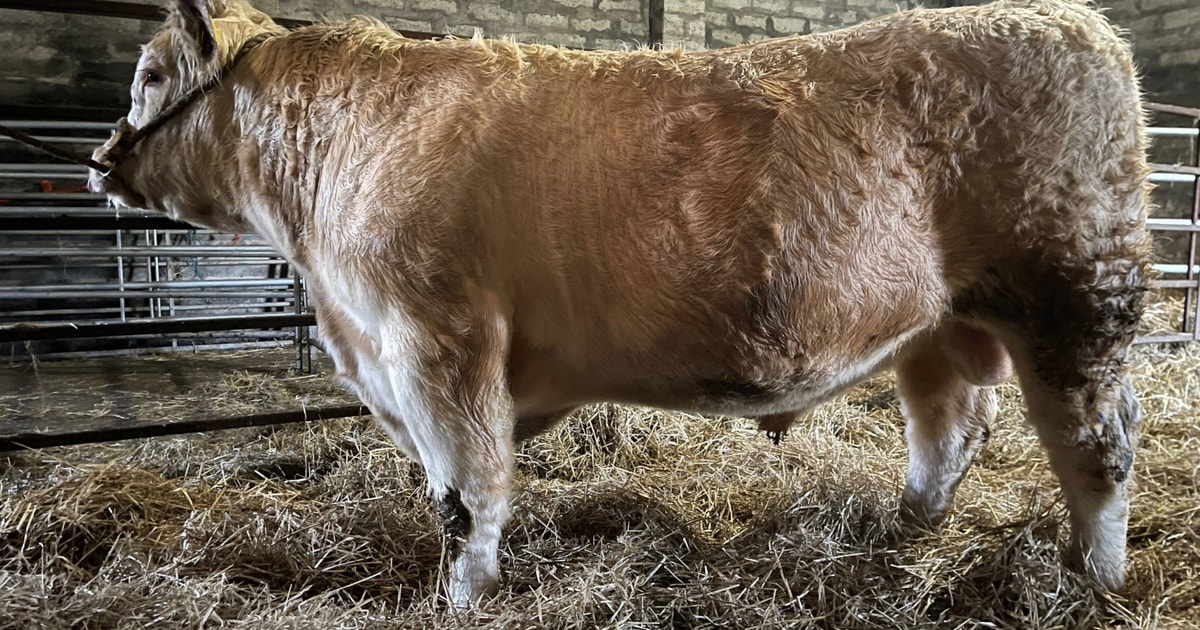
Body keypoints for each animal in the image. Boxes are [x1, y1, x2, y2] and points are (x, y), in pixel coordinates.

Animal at [90, 0, 1151, 606]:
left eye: (148, 76)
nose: (98, 163)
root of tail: (1078, 21)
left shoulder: (438, 343)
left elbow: (467, 494)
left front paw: (465, 597)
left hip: (1077, 302)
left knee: (1096, 448)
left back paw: (1096, 576)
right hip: (943, 320)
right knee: (948, 423)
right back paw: (906, 531)